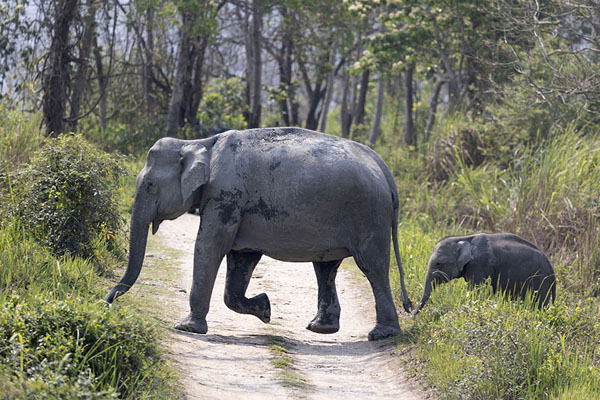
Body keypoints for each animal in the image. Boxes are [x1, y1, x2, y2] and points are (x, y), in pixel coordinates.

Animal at [104, 128, 412, 340]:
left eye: (150, 185)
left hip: (369, 214)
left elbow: (210, 246)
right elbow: (241, 259)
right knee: (326, 267)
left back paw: (382, 335)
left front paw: (186, 328)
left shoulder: (225, 196)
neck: (199, 142)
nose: (107, 302)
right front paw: (265, 309)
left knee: (372, 267)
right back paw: (320, 329)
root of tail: (385, 170)